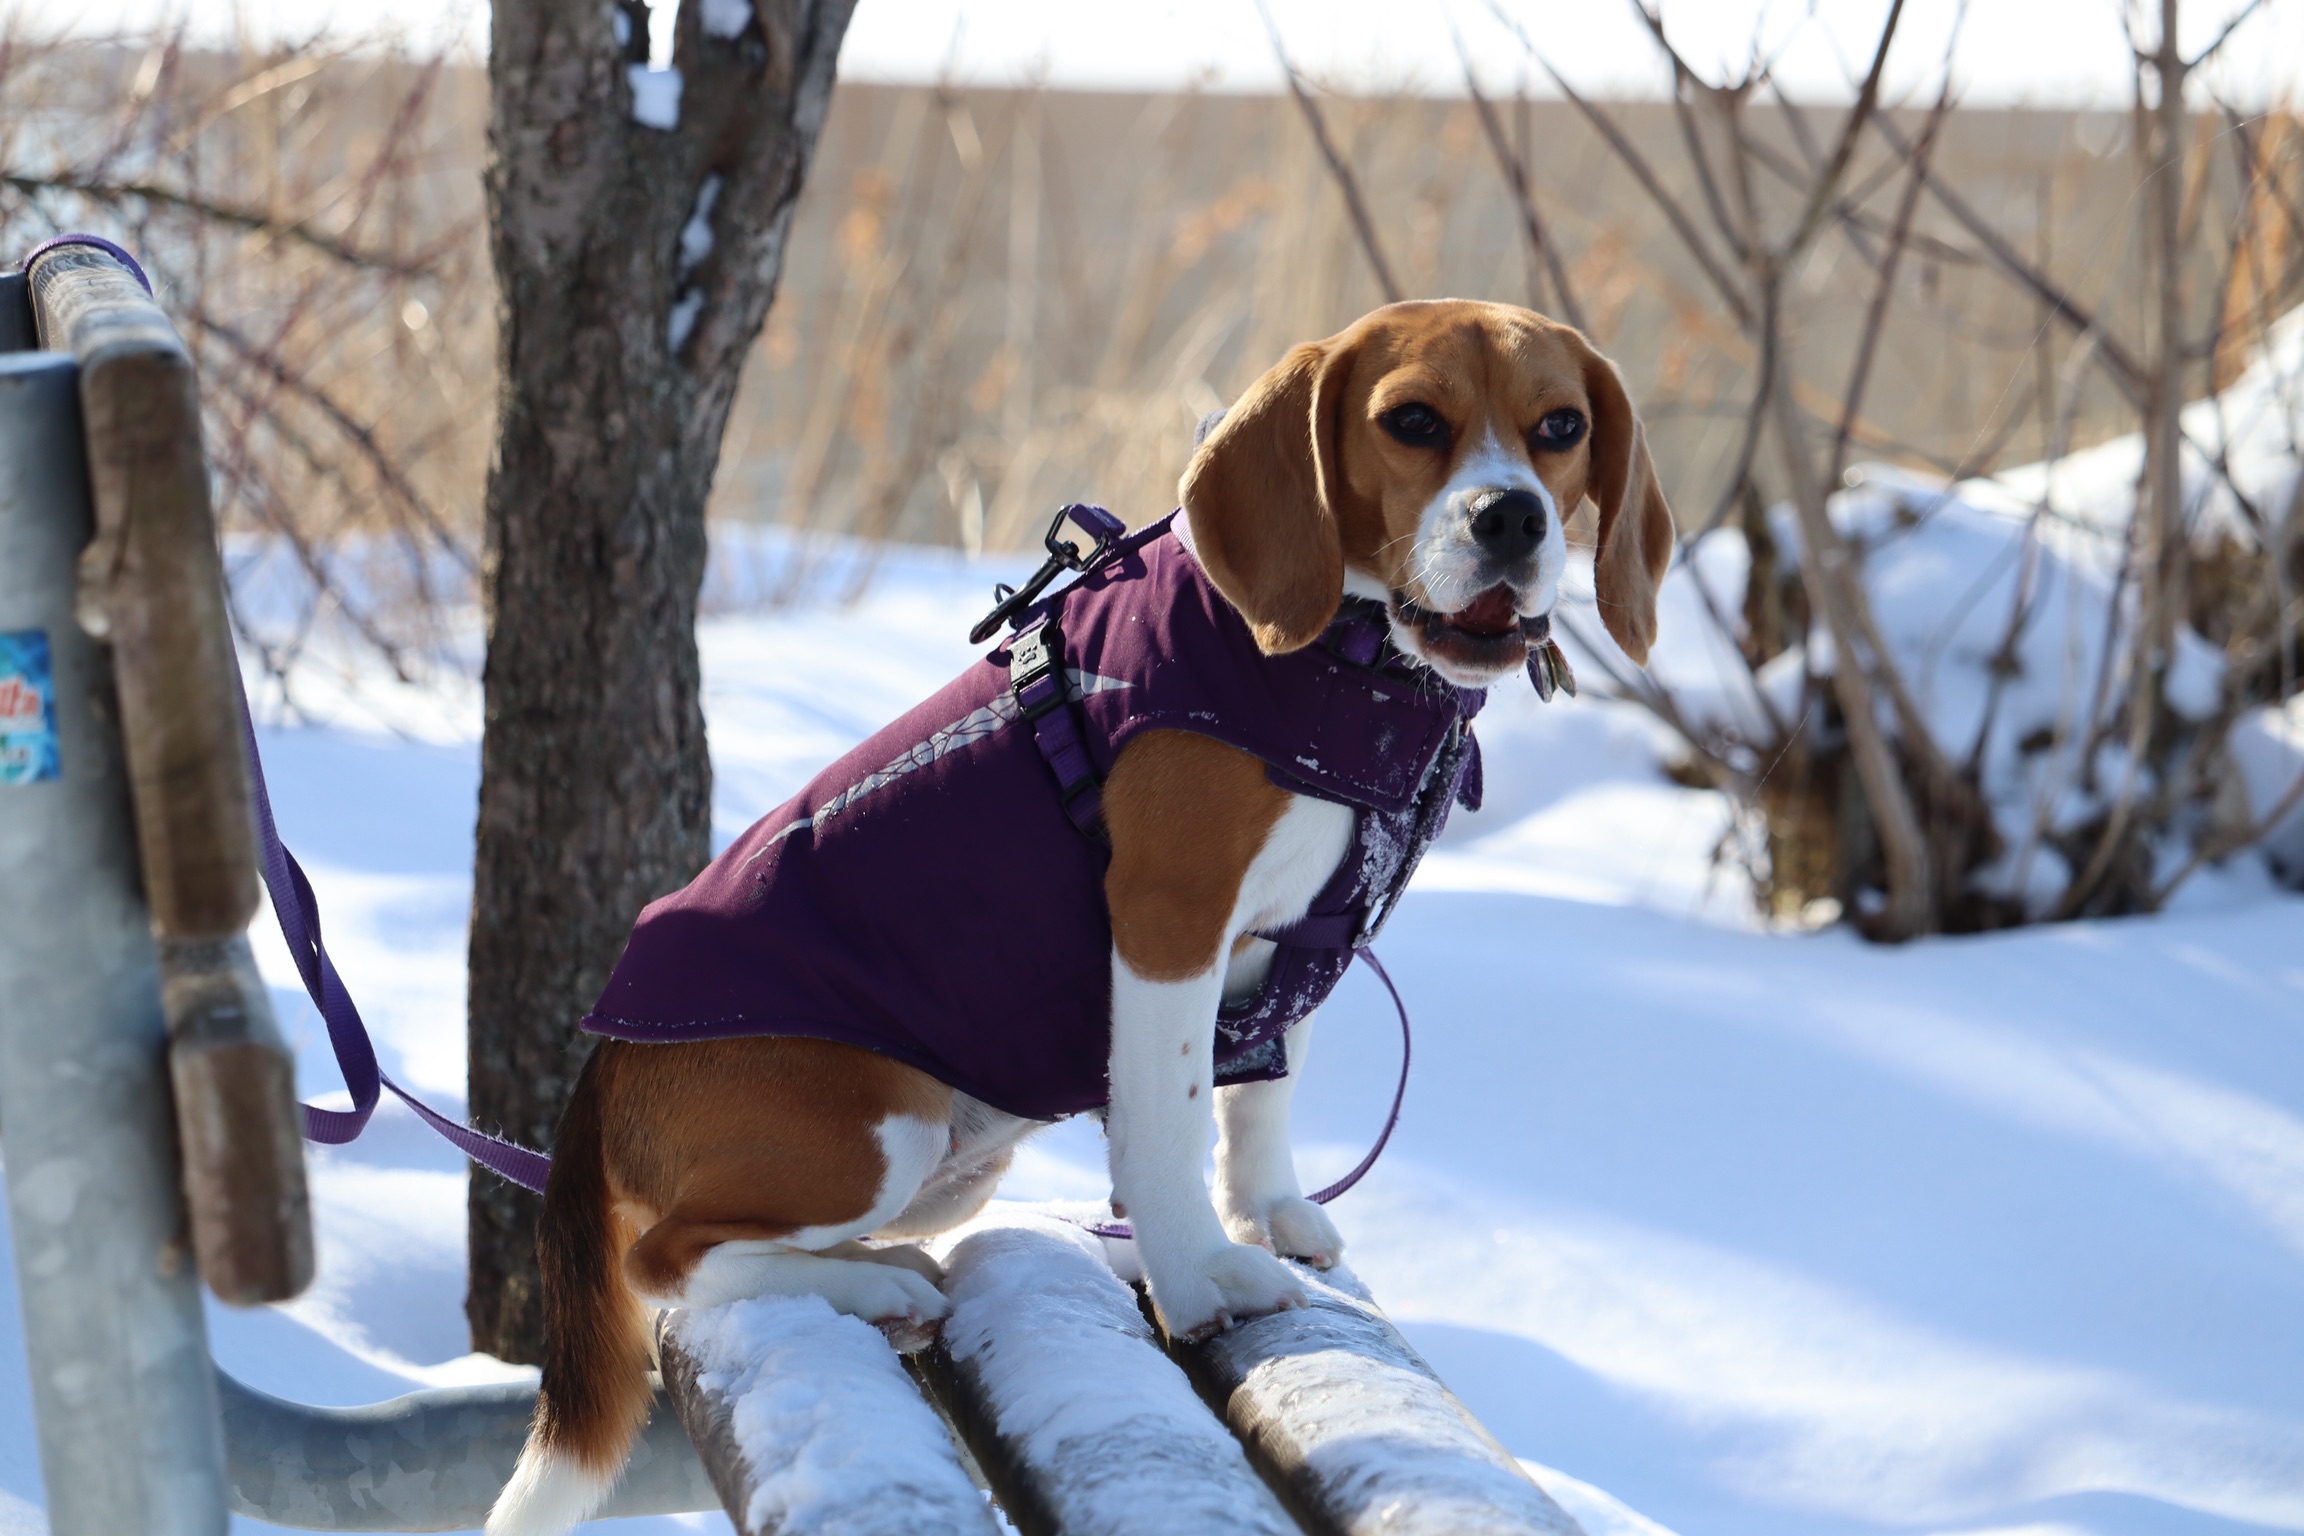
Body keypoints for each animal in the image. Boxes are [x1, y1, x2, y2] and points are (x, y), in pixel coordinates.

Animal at [485, 299, 1671, 1536]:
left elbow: (1263, 1092)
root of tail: (602, 1066)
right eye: (1413, 421)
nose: (1512, 517)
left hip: (947, 1170)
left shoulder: (1298, 940)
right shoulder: (1170, 921)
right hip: (882, 1121)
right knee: (667, 1264)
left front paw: (1266, 1210)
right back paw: (870, 1285)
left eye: (1561, 426)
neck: (1360, 664)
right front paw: (1204, 1274)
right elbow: (1172, 1121)